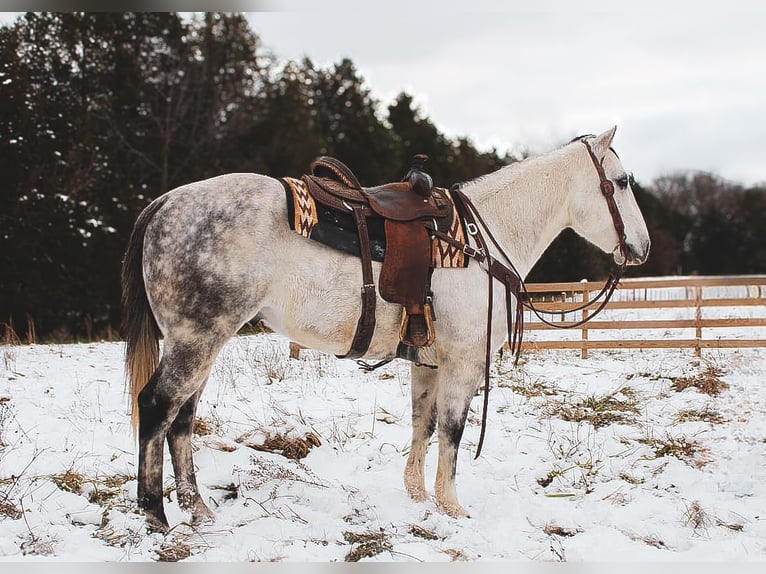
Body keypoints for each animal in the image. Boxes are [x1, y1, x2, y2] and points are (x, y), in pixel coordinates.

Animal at [122, 126, 650, 532]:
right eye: (622, 182)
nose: (641, 248)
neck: (478, 239)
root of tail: (165, 202)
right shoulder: (463, 360)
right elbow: (453, 429)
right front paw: (451, 505)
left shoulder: (428, 362)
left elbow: (424, 423)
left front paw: (417, 495)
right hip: (197, 338)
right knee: (158, 408)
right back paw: (156, 517)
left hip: (202, 342)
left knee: (183, 418)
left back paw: (198, 510)